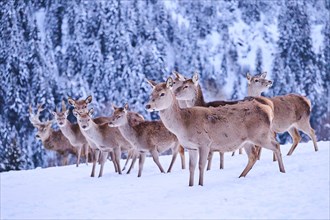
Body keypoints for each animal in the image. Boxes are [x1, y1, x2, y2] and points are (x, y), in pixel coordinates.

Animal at [146, 76, 284, 186]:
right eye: (151, 93)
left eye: (162, 93)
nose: (148, 105)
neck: (183, 126)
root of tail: (268, 108)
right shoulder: (190, 147)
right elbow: (191, 168)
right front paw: (190, 185)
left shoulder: (204, 143)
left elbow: (201, 166)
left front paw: (200, 184)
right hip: (248, 140)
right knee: (253, 156)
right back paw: (241, 176)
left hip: (260, 134)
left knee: (276, 145)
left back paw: (282, 171)